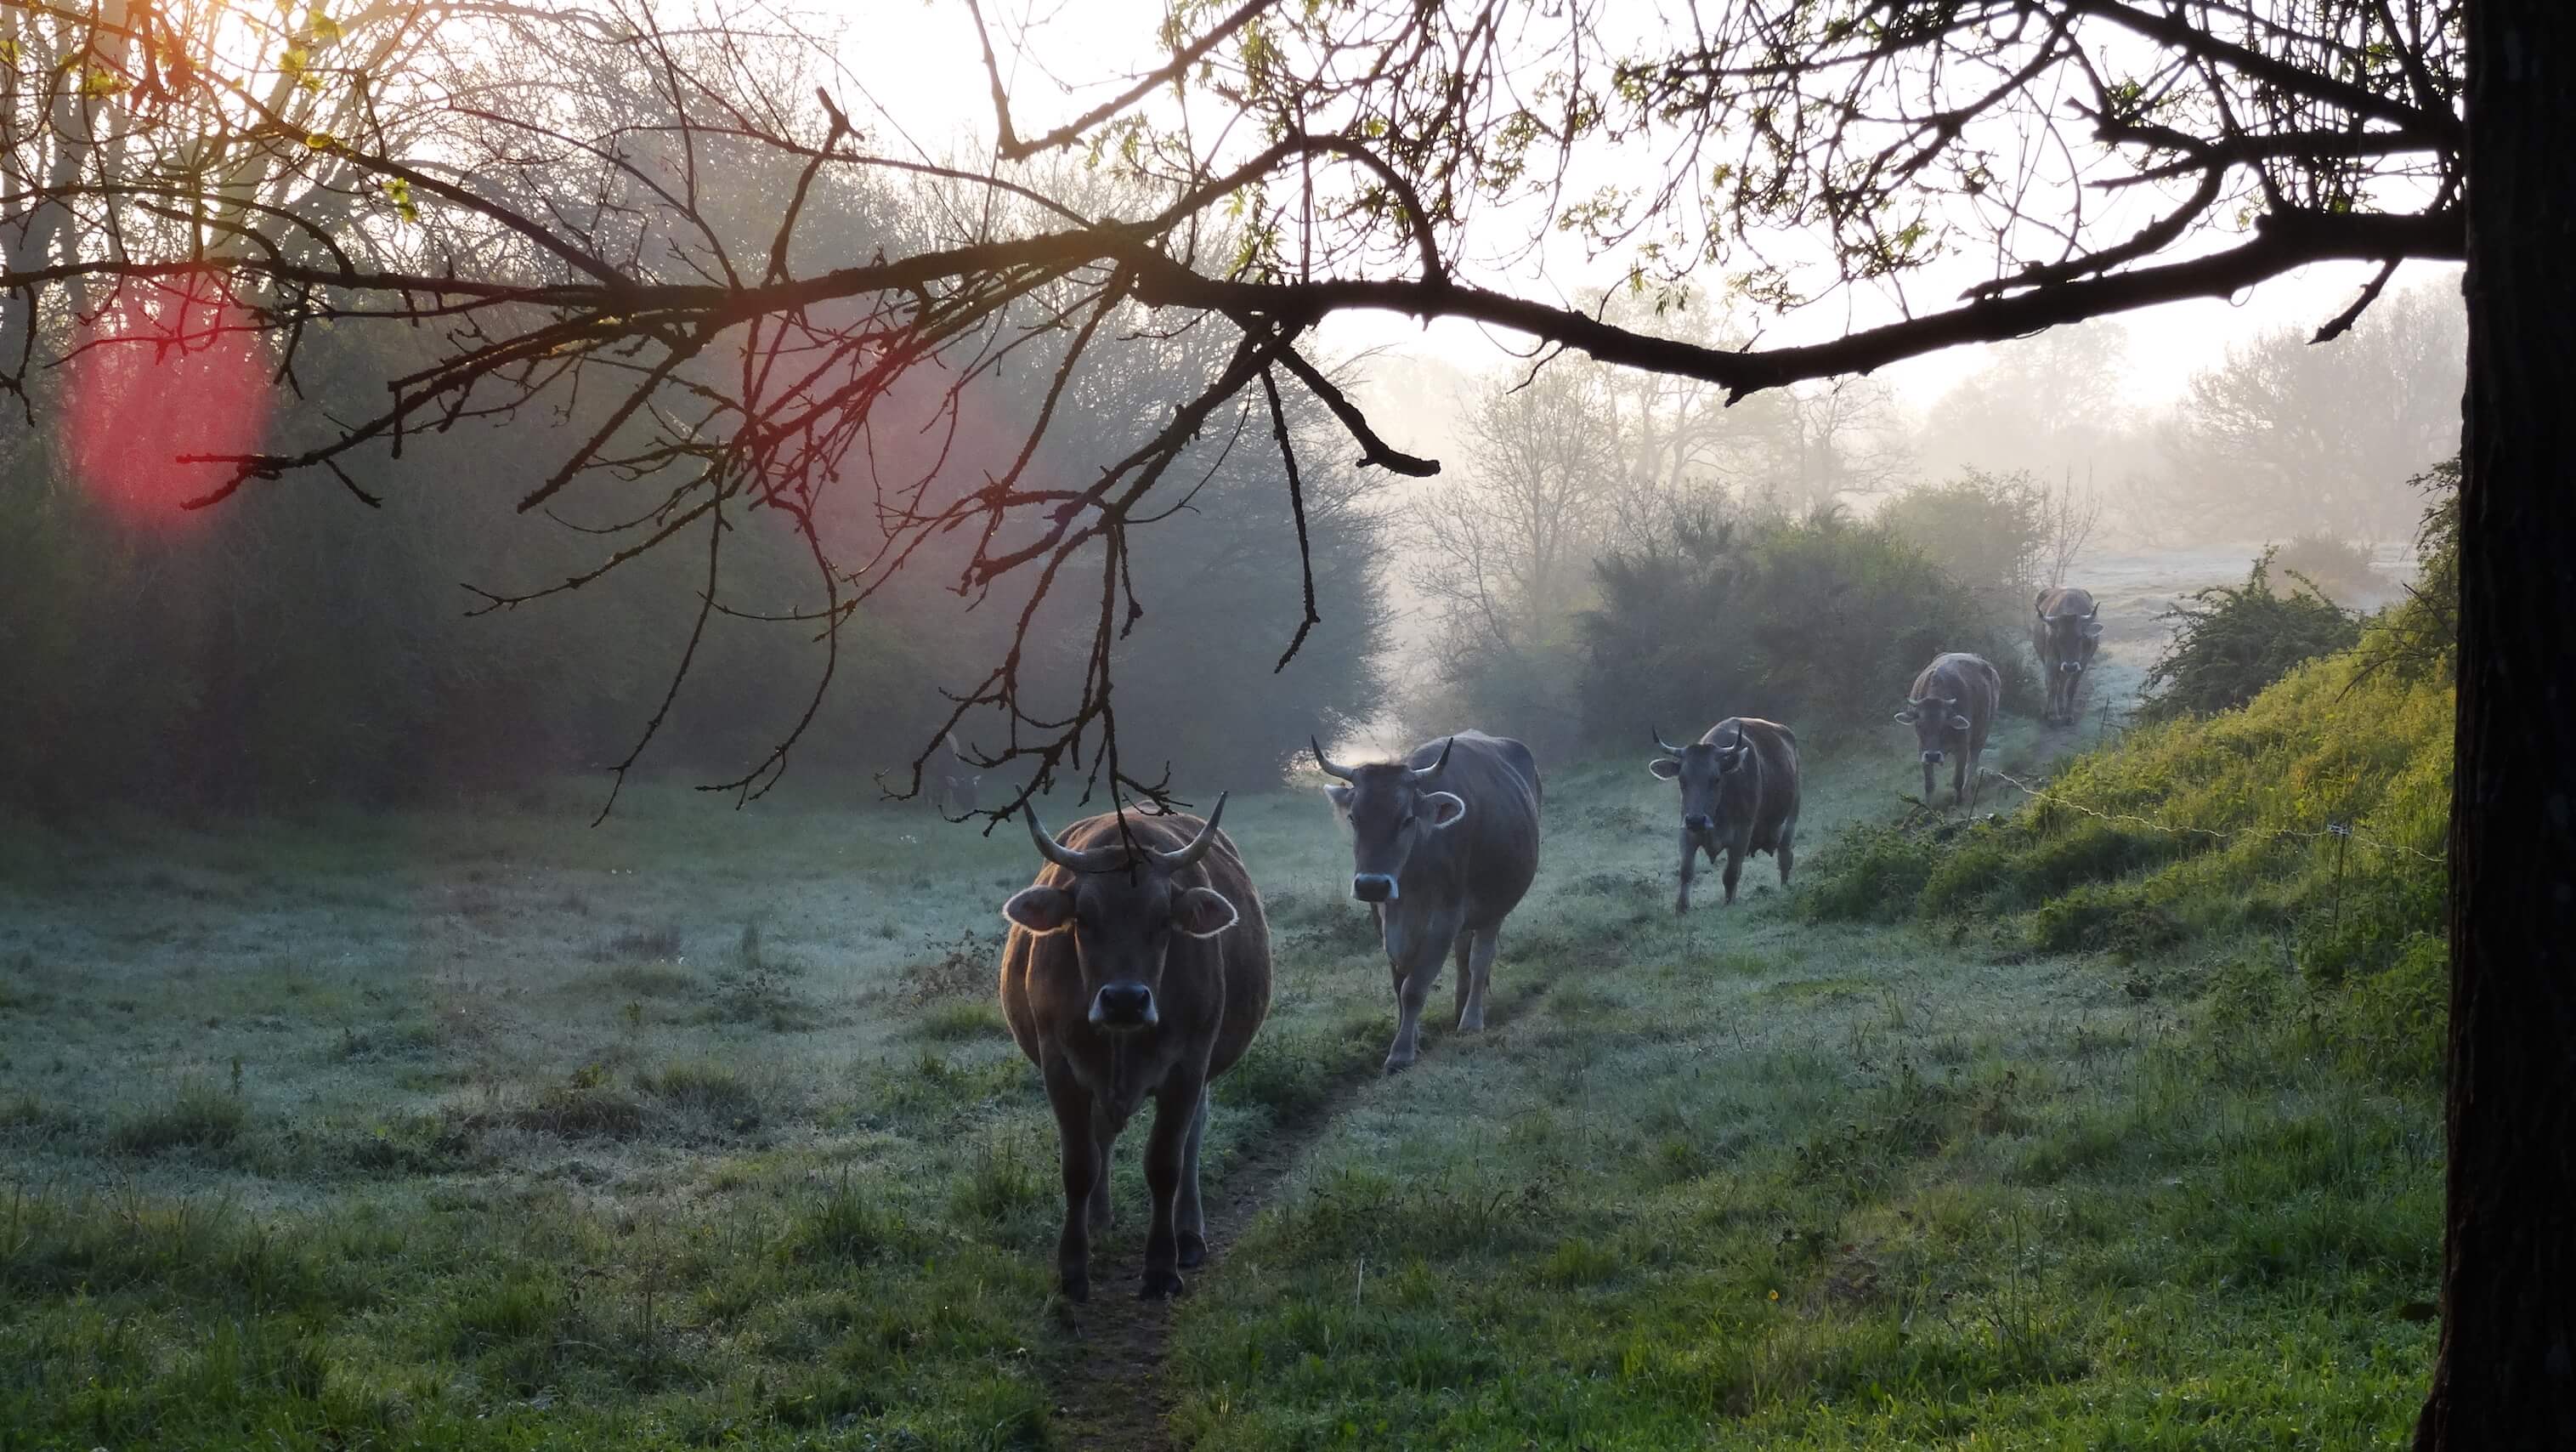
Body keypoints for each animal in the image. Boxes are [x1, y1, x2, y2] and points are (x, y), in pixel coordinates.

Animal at [988, 797, 1262, 1297]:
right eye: (1084, 918)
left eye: (1162, 920)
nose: (1125, 1000)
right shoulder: (1060, 1068)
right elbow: (1079, 1166)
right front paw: (1073, 1267)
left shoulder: (1188, 1069)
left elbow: (1165, 1164)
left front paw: (1161, 1267)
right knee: (1102, 1137)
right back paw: (1098, 1219)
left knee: (1192, 1140)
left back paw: (1188, 1234)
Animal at [1318, 731, 1535, 1070]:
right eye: (1354, 818)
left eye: (1407, 819)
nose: (1372, 885)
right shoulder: (1383, 918)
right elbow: (1399, 984)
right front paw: (1412, 1037)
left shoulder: (1445, 919)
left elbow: (1414, 988)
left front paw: (1401, 1052)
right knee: (1464, 957)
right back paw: (1459, 1007)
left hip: (1495, 905)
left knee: (1479, 959)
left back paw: (1471, 1019)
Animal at [1638, 720, 1803, 911]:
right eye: (1681, 780)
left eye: (1716, 779)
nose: (1696, 820)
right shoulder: (1686, 831)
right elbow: (1686, 871)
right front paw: (1682, 908)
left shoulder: (1742, 835)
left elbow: (1731, 874)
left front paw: (1729, 904)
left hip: (1791, 820)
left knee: (1785, 858)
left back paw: (1784, 888)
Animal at [1895, 654, 2009, 803]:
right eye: (1919, 725)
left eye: (1944, 726)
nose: (1933, 756)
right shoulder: (1922, 750)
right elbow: (1929, 785)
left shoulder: (1962, 748)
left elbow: (1958, 780)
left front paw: (1959, 801)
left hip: (1982, 734)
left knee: (1972, 764)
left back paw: (1967, 793)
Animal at [2040, 587, 2102, 726]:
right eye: (2059, 638)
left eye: (2080, 637)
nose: (2070, 666)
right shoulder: (2050, 662)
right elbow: (2052, 686)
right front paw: (2052, 714)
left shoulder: (2082, 664)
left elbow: (2071, 688)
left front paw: (2068, 715)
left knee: (2063, 682)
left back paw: (2061, 705)